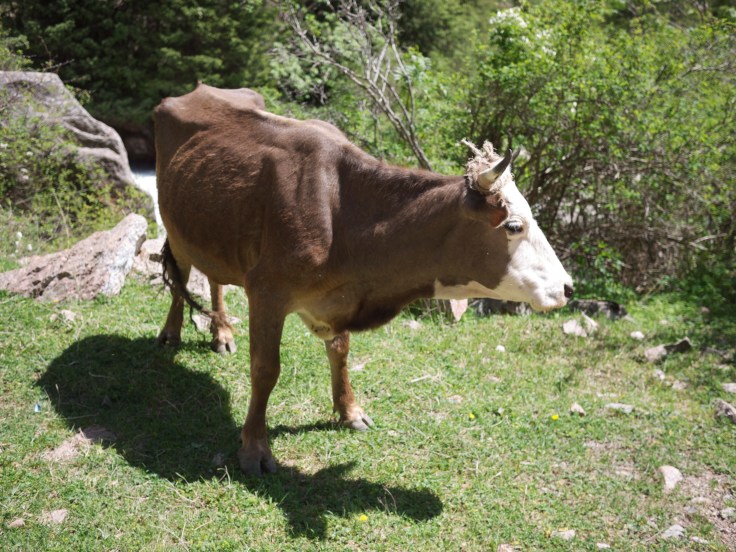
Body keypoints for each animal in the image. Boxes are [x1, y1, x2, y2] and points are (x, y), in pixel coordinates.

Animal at [153, 84, 573, 476]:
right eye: (514, 226)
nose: (568, 287)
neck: (344, 215)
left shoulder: (338, 299)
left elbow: (340, 352)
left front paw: (349, 411)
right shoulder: (267, 291)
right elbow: (266, 369)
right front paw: (255, 448)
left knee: (214, 278)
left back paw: (222, 332)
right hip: (176, 225)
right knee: (182, 275)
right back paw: (172, 332)